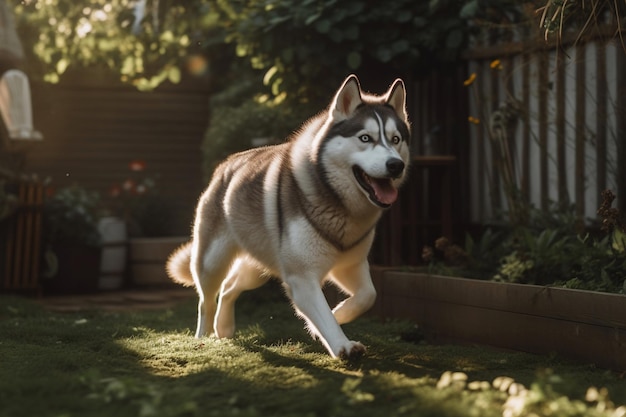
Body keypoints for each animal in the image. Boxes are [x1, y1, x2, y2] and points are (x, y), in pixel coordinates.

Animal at [166, 75, 410, 358]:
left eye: (395, 139)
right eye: (365, 137)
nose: (396, 165)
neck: (338, 204)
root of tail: (226, 165)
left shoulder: (351, 265)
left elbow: (368, 295)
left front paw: (335, 317)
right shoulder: (302, 278)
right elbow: (324, 315)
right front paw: (342, 343)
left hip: (257, 269)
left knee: (229, 288)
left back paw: (224, 327)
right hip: (211, 262)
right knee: (206, 300)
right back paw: (203, 336)